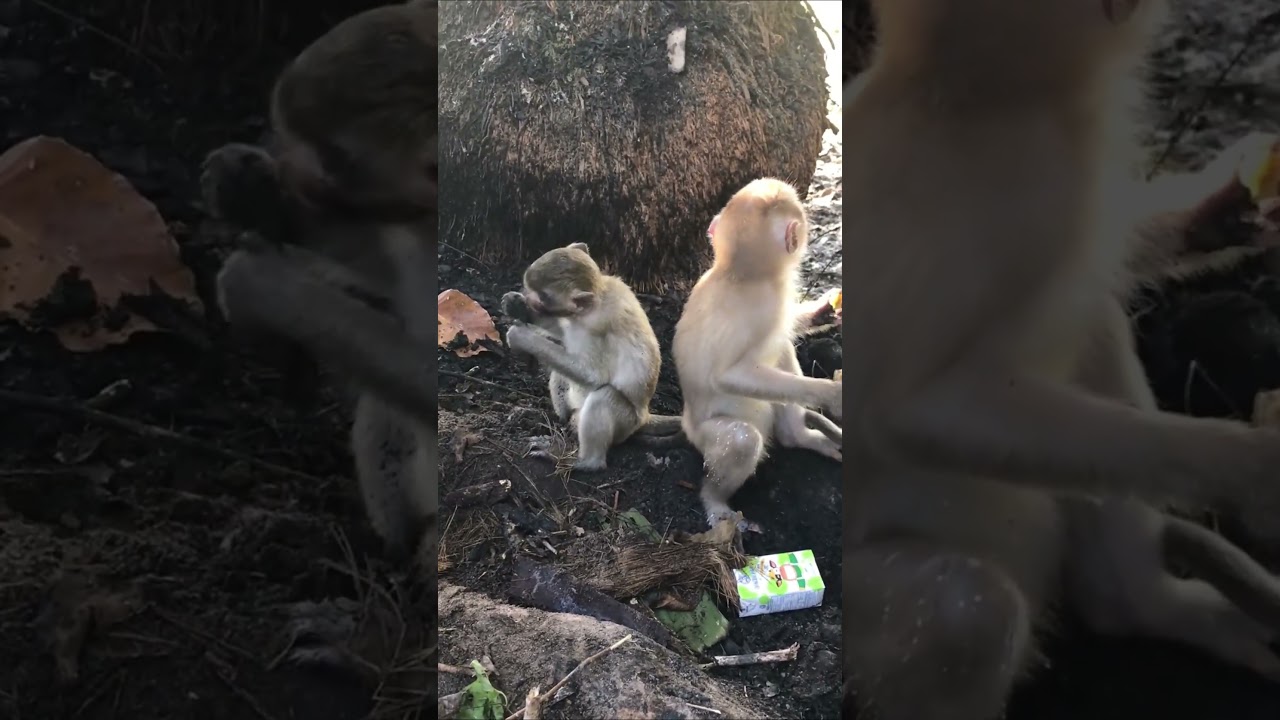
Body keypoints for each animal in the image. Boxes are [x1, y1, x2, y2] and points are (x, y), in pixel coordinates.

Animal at [496, 243, 687, 471]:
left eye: (543, 297)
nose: (530, 298)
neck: (598, 297)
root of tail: (644, 416)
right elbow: (562, 333)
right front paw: (517, 307)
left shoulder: (598, 327)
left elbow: (594, 375)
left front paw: (522, 337)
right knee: (561, 376)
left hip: (626, 422)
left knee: (604, 396)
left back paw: (584, 462)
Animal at [671, 178, 843, 531]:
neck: (735, 273)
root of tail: (686, 422)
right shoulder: (765, 304)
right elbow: (729, 376)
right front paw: (832, 393)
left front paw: (823, 311)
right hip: (705, 438)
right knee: (742, 438)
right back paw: (716, 502)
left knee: (782, 352)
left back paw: (797, 437)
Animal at [841, 2, 1280, 719]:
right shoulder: (1013, 185)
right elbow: (916, 411)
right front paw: (1255, 468)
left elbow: (1111, 256)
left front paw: (1217, 212)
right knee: (966, 615)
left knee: (1090, 316)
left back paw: (1144, 604)